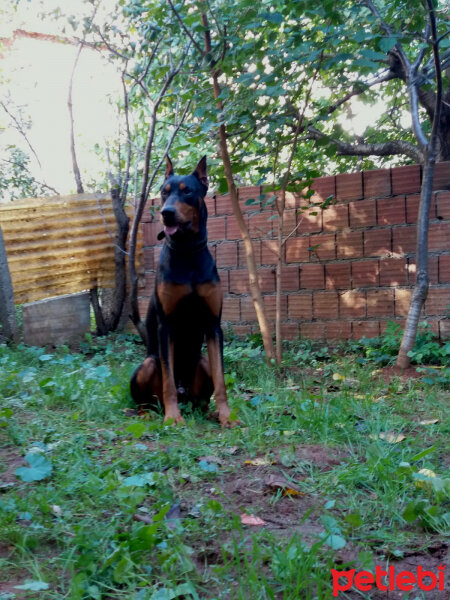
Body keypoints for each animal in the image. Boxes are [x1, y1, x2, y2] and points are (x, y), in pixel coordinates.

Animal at [129, 155, 236, 426]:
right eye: (163, 192)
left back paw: (209, 411)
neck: (187, 252)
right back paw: (151, 413)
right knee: (147, 401)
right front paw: (173, 418)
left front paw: (226, 415)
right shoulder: (166, 326)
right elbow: (168, 379)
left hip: (202, 363)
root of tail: (184, 391)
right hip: (147, 364)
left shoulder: (213, 325)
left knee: (200, 399)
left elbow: (221, 380)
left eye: (187, 191)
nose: (166, 213)